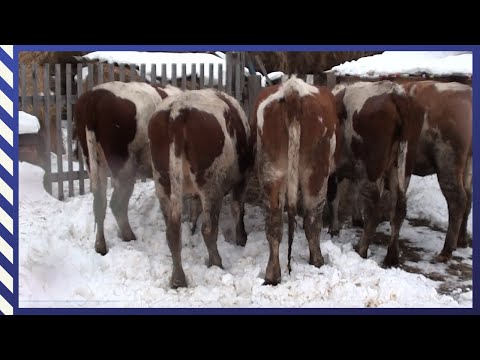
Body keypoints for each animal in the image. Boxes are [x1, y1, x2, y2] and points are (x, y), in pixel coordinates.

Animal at [75, 81, 182, 256]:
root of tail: (95, 94)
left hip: (92, 159)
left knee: (100, 202)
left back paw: (101, 245)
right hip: (124, 166)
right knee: (117, 203)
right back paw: (128, 236)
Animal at [149, 88, 255, 288]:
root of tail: (177, 111)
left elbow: (194, 211)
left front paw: (191, 230)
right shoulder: (243, 177)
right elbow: (237, 208)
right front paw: (241, 238)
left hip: (163, 182)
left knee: (172, 231)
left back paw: (178, 278)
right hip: (210, 184)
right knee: (209, 229)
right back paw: (216, 263)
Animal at [251, 76, 342, 286]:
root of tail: (293, 91)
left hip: (271, 171)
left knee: (274, 223)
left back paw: (272, 276)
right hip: (316, 171)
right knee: (312, 219)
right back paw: (317, 261)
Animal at [328, 81, 422, 268]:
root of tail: (394, 93)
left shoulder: (337, 170)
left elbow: (335, 196)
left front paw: (334, 227)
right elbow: (353, 192)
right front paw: (356, 218)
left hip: (373, 170)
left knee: (374, 210)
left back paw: (361, 249)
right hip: (402, 168)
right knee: (399, 208)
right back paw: (391, 256)